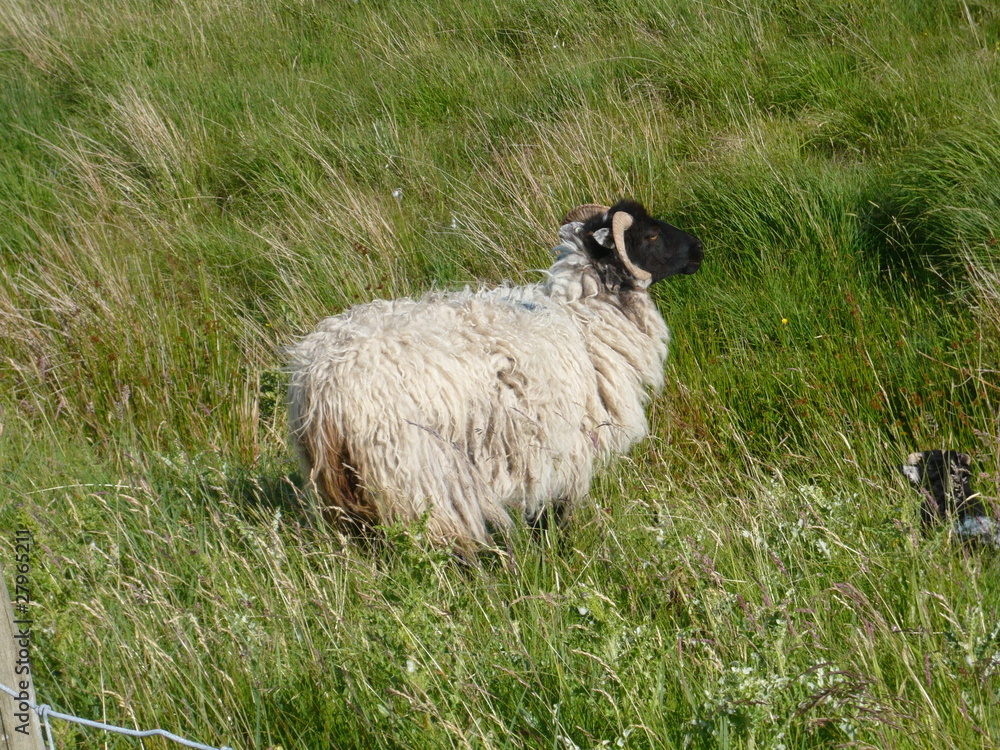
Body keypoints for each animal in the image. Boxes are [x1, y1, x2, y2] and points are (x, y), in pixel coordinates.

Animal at [286, 199, 703, 548]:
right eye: (650, 235)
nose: (698, 249)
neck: (584, 317)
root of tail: (319, 384)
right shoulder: (567, 448)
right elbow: (559, 513)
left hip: (342, 487)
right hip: (414, 474)